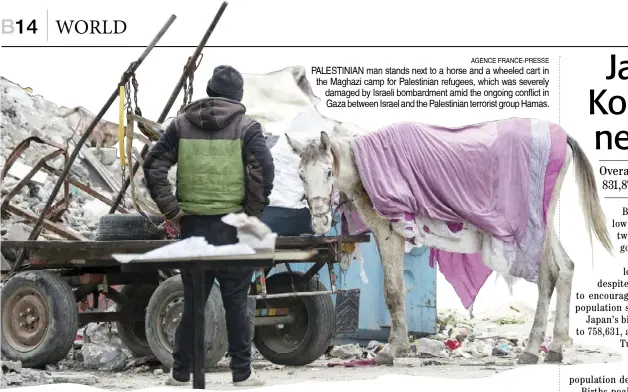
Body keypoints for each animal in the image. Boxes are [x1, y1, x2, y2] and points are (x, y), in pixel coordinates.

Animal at [288, 125, 612, 364]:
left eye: (328, 172)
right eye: (301, 175)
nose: (319, 224)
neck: (365, 168)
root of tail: (561, 136)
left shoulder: (390, 232)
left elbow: (392, 291)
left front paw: (394, 349)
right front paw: (397, 346)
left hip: (532, 227)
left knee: (547, 275)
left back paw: (532, 349)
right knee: (566, 267)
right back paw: (555, 347)